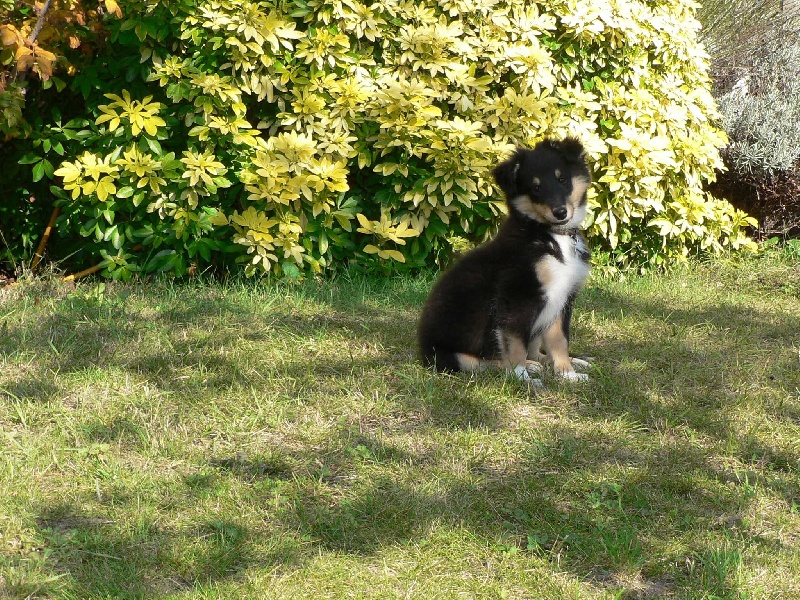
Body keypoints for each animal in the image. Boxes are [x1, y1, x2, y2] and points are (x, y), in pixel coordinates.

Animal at [418, 137, 592, 384]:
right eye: (535, 188)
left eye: (562, 179)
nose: (560, 212)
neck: (548, 234)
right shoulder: (516, 297)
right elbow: (515, 343)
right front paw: (522, 377)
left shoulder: (563, 298)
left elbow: (559, 341)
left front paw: (568, 374)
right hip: (455, 356)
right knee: (485, 362)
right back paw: (522, 367)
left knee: (535, 349)